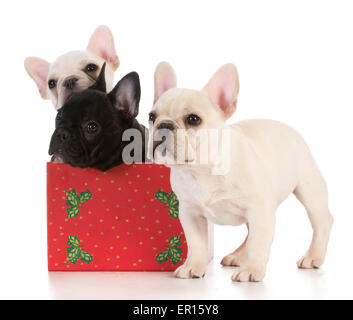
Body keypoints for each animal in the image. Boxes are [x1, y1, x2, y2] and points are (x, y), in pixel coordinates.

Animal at [148, 61, 332, 282]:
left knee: (322, 222)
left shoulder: (259, 210)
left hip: (309, 190)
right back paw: (237, 256)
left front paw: (251, 269)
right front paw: (193, 266)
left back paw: (313, 256)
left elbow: (258, 242)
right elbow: (197, 243)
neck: (203, 171)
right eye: (151, 117)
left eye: (193, 119)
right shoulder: (190, 213)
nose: (164, 125)